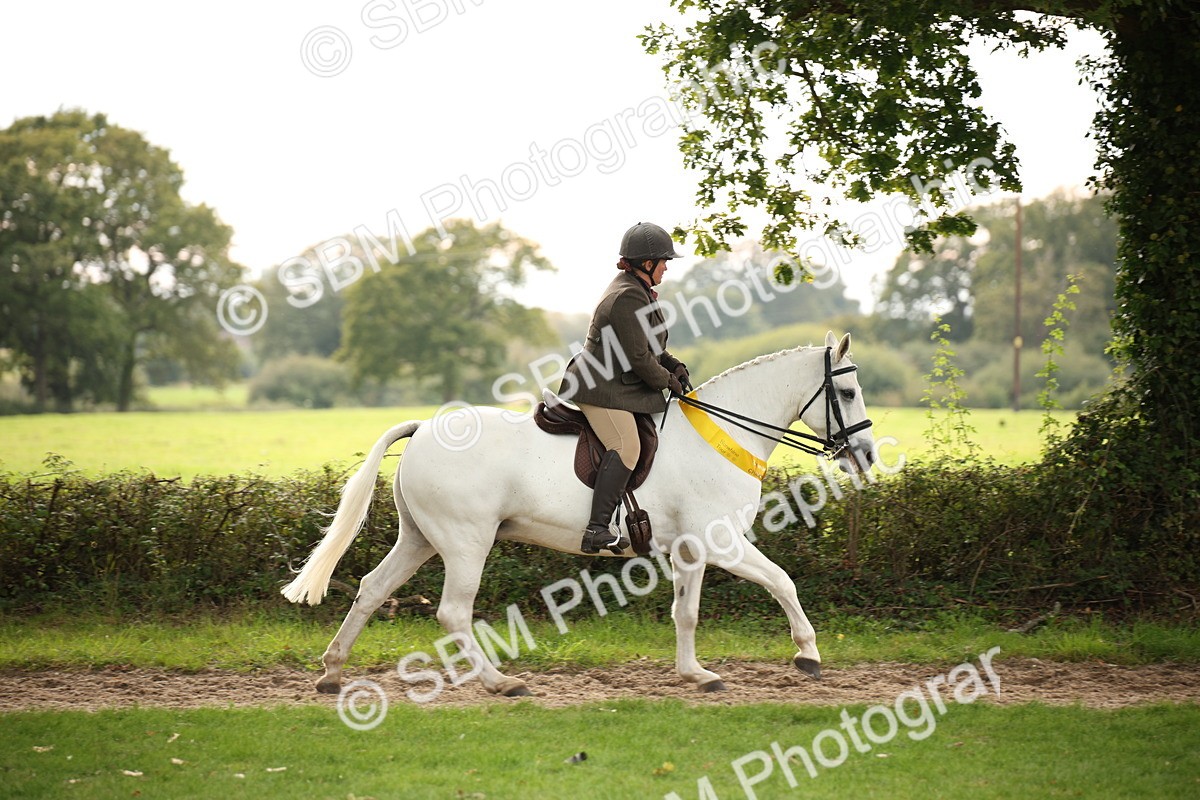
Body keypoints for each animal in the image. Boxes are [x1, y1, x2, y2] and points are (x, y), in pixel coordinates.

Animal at [282, 331, 875, 698]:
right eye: (846, 391)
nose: (866, 456)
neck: (723, 436)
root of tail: (425, 427)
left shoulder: (690, 550)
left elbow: (686, 612)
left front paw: (695, 674)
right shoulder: (723, 543)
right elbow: (783, 581)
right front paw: (808, 654)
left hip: (420, 539)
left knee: (371, 588)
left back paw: (331, 673)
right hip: (467, 543)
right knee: (452, 613)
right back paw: (502, 684)